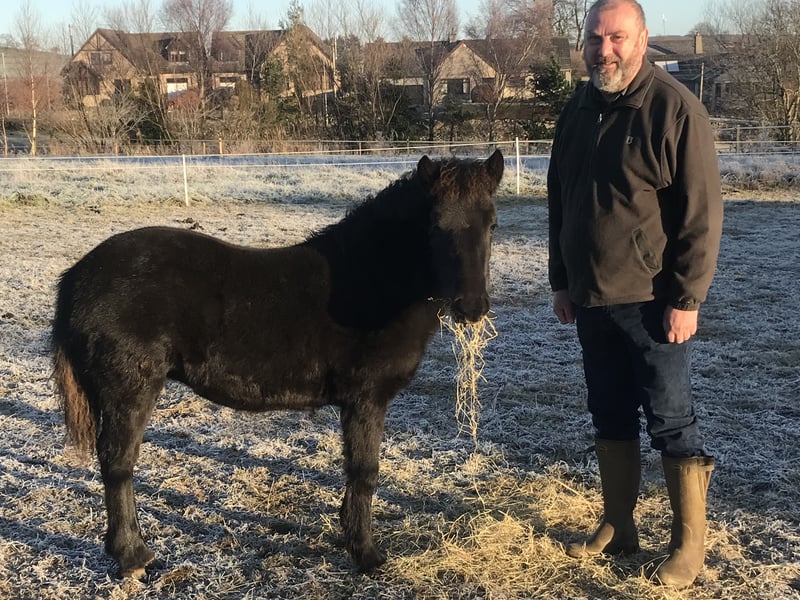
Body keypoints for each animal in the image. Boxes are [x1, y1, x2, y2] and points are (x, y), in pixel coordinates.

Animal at [52, 150, 504, 578]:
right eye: (435, 226)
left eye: (493, 224)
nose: (471, 307)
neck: (369, 282)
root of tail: (78, 275)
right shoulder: (365, 400)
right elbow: (365, 471)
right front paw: (366, 554)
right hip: (130, 389)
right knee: (118, 462)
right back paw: (133, 557)